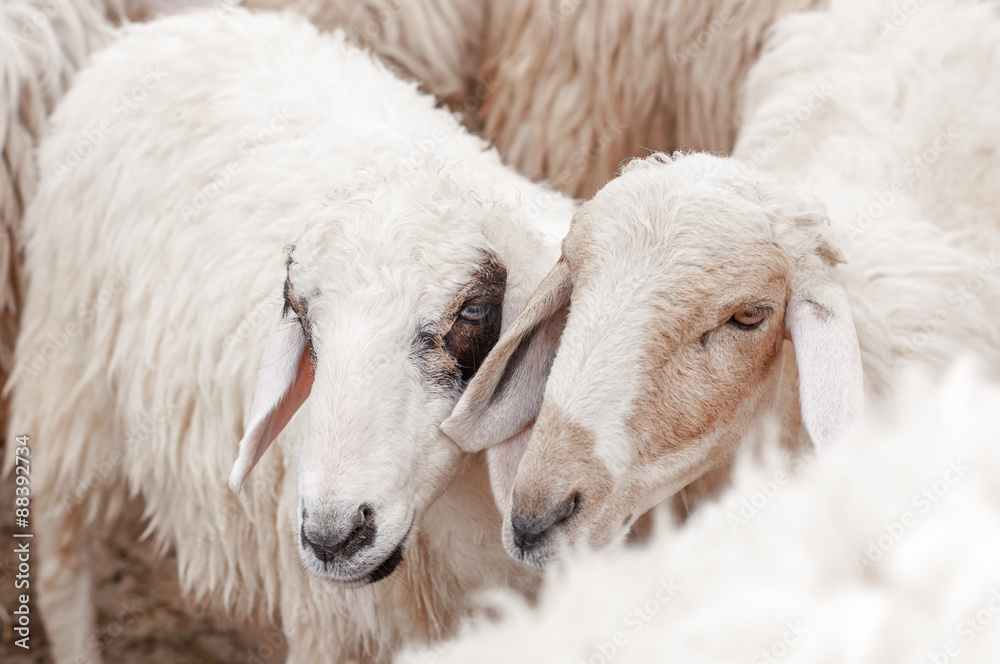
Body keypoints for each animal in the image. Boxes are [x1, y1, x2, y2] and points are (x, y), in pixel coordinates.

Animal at [4, 8, 575, 663]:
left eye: (475, 313)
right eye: (302, 319)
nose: (333, 536)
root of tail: (177, 23)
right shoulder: (334, 625)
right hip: (72, 372)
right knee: (61, 553)